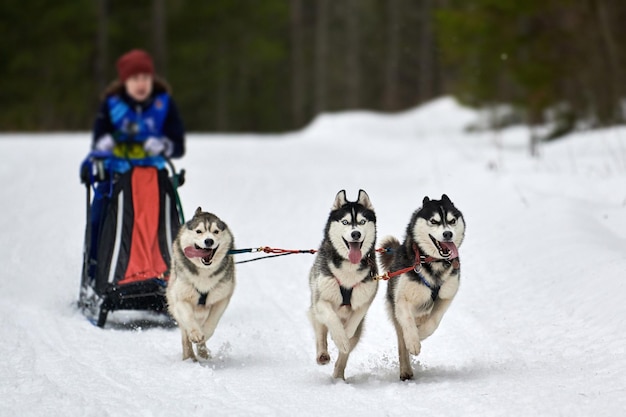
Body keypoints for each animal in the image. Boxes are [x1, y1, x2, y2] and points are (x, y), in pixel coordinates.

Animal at [166, 208, 234, 360]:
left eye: (216, 231)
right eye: (199, 231)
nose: (209, 241)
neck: (204, 271)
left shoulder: (221, 299)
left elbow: (212, 322)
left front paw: (204, 337)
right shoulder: (182, 299)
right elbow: (189, 319)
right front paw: (196, 334)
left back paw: (203, 353)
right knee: (185, 334)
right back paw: (189, 356)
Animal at [306, 190, 376, 378]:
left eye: (362, 221)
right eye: (345, 222)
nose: (356, 234)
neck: (349, 270)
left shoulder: (367, 296)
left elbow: (355, 320)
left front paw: (345, 334)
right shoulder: (321, 300)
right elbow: (332, 318)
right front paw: (339, 336)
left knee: (345, 353)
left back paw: (338, 375)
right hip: (315, 309)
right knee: (320, 333)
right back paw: (322, 354)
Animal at [378, 193, 460, 378]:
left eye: (452, 221)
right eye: (434, 221)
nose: (448, 234)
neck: (432, 263)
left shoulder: (446, 296)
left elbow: (434, 320)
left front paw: (421, 333)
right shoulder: (402, 300)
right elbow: (407, 323)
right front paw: (414, 342)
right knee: (402, 342)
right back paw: (406, 370)